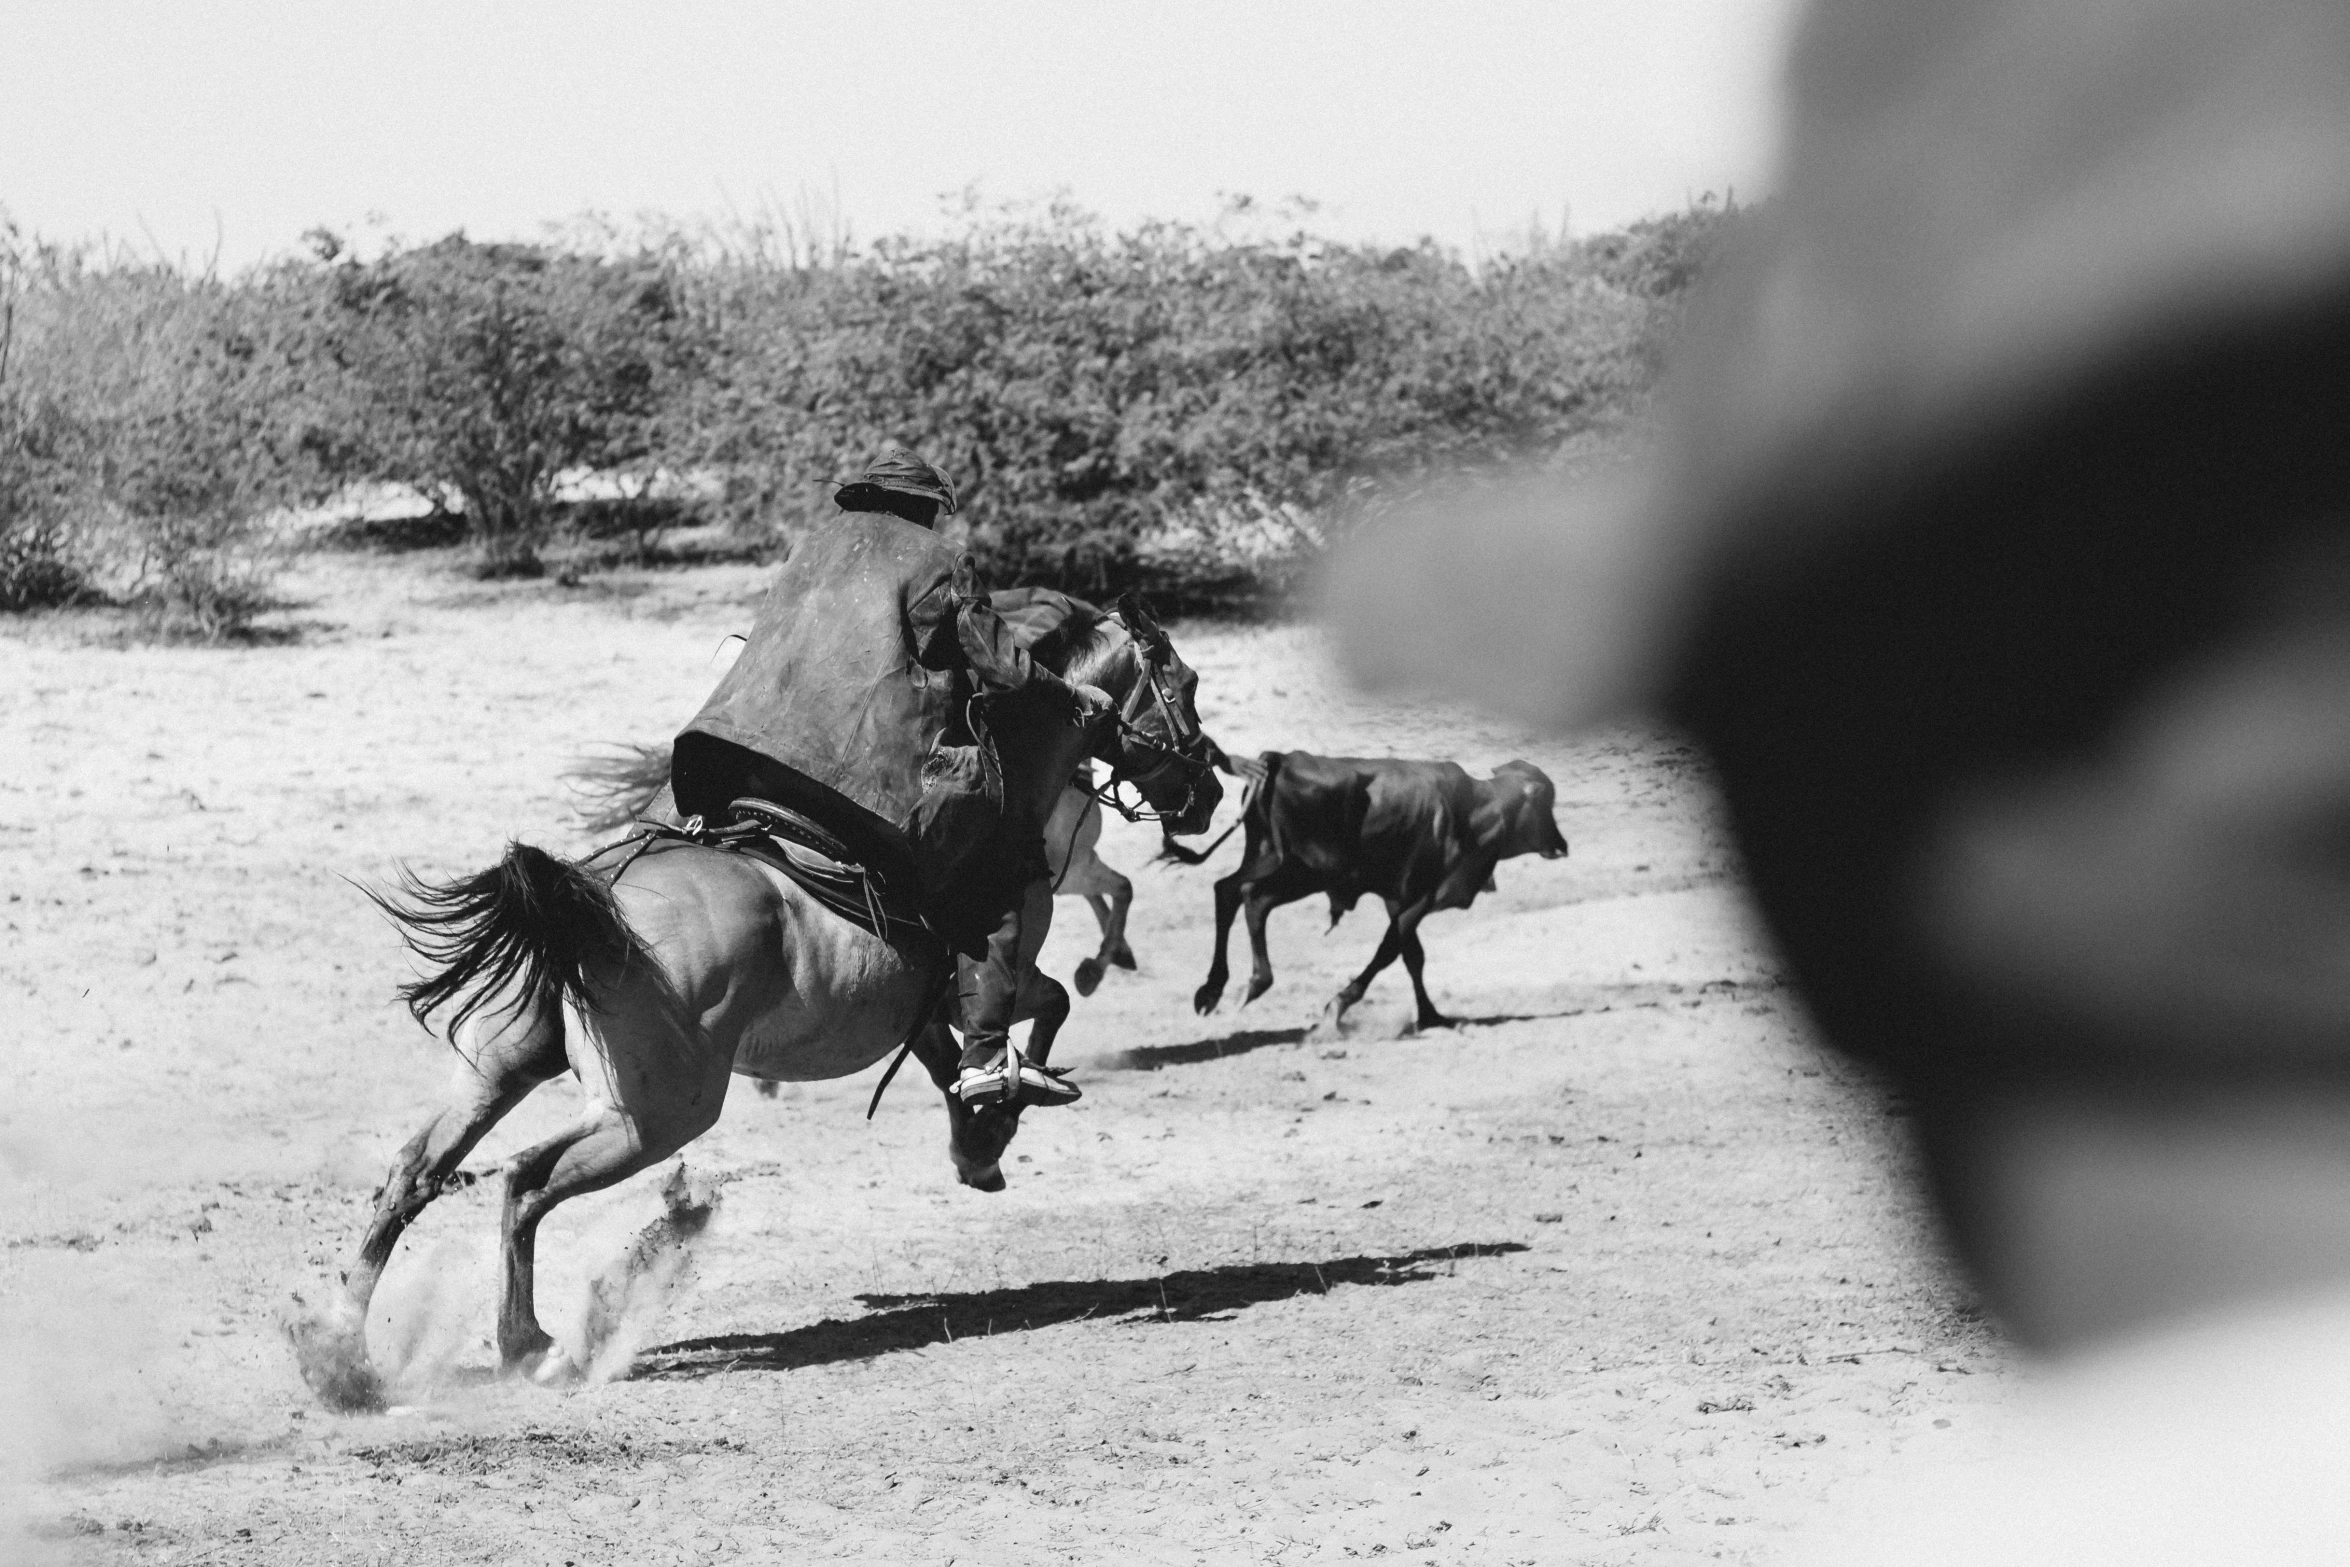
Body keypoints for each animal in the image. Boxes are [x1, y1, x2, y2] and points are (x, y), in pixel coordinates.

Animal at [293, 594, 1222, 1400]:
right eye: (1183, 684)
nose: (1209, 792)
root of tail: (595, 901)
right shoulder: (995, 972)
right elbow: (1046, 1007)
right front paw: (1002, 1112)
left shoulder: (921, 1010)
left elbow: (950, 1065)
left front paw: (976, 1140)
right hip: (655, 1114)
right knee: (523, 1179)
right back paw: (531, 1346)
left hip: (504, 1067)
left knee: (414, 1174)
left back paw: (341, 1356)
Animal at [1193, 756, 1560, 1033]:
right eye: (1545, 804)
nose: (1561, 844)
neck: (1475, 809)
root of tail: (1280, 760)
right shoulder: (1421, 897)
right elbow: (1389, 952)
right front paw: (1339, 1005)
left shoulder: (1397, 900)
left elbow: (1413, 956)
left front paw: (1431, 1015)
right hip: (1304, 873)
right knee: (1254, 900)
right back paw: (1255, 982)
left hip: (1266, 858)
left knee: (1228, 891)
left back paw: (1213, 990)